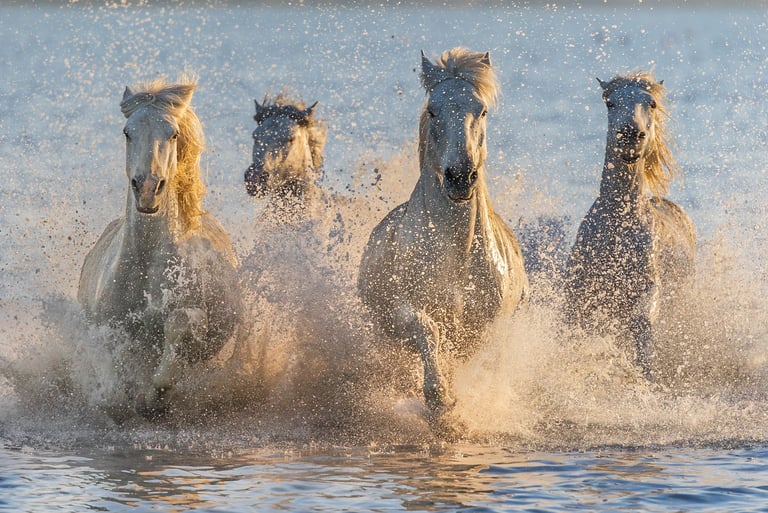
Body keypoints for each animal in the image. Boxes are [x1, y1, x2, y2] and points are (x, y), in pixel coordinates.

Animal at [78, 76, 244, 417]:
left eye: (173, 133)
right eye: (127, 132)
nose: (147, 189)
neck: (146, 263)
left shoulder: (198, 322)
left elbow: (177, 325)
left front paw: (158, 390)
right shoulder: (105, 328)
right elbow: (117, 366)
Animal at [358, 48, 528, 435]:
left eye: (482, 110)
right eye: (433, 109)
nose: (460, 176)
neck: (456, 253)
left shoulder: (490, 324)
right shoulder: (403, 311)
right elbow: (429, 330)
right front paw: (441, 401)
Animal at [564, 71, 696, 380]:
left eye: (651, 103)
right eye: (610, 102)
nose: (630, 137)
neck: (616, 226)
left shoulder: (648, 286)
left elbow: (643, 322)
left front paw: (646, 373)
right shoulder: (578, 290)